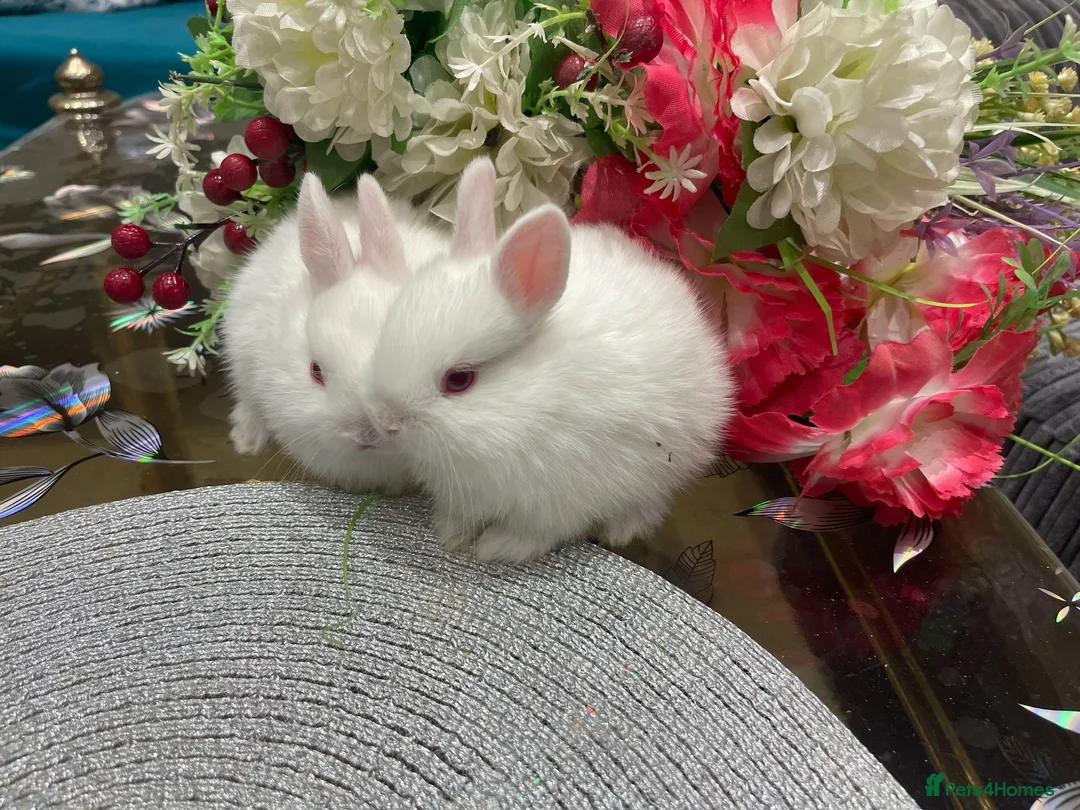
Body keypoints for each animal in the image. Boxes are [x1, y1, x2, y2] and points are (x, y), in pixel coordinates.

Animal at [362, 157, 735, 563]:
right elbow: (462, 515)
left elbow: (533, 535)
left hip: (665, 467)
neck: (530, 402)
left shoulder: (557, 504)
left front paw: (495, 549)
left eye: (459, 380)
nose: (386, 421)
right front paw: (451, 535)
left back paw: (620, 530)